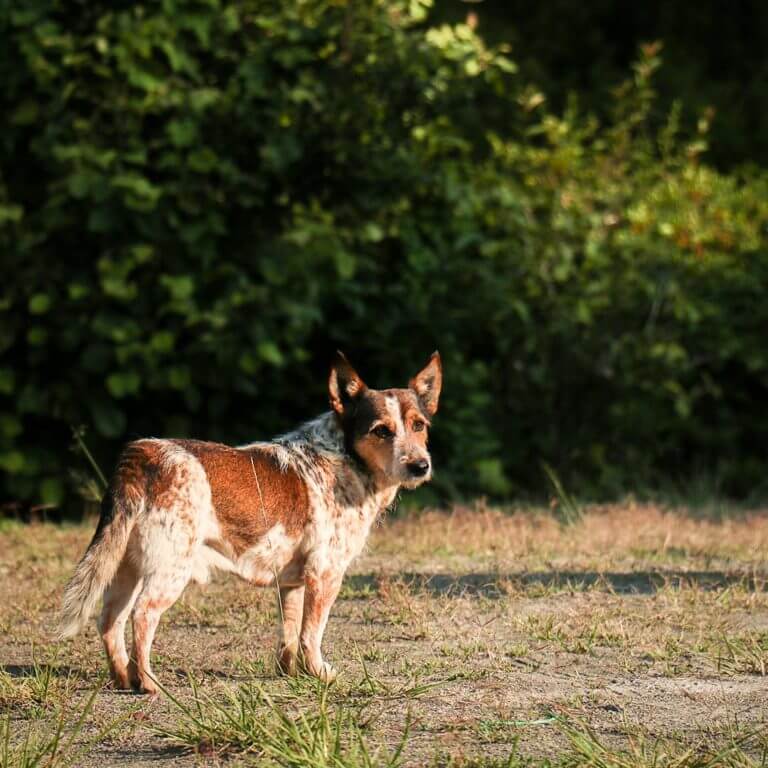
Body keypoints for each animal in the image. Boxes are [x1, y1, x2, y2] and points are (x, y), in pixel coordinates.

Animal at [58, 352, 444, 692]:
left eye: (419, 425)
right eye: (382, 431)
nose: (421, 466)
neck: (344, 457)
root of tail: (140, 457)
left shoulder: (292, 582)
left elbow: (290, 633)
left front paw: (290, 675)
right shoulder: (326, 573)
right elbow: (312, 633)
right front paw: (320, 674)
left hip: (127, 566)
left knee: (110, 618)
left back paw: (124, 678)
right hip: (169, 569)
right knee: (142, 615)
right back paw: (149, 683)